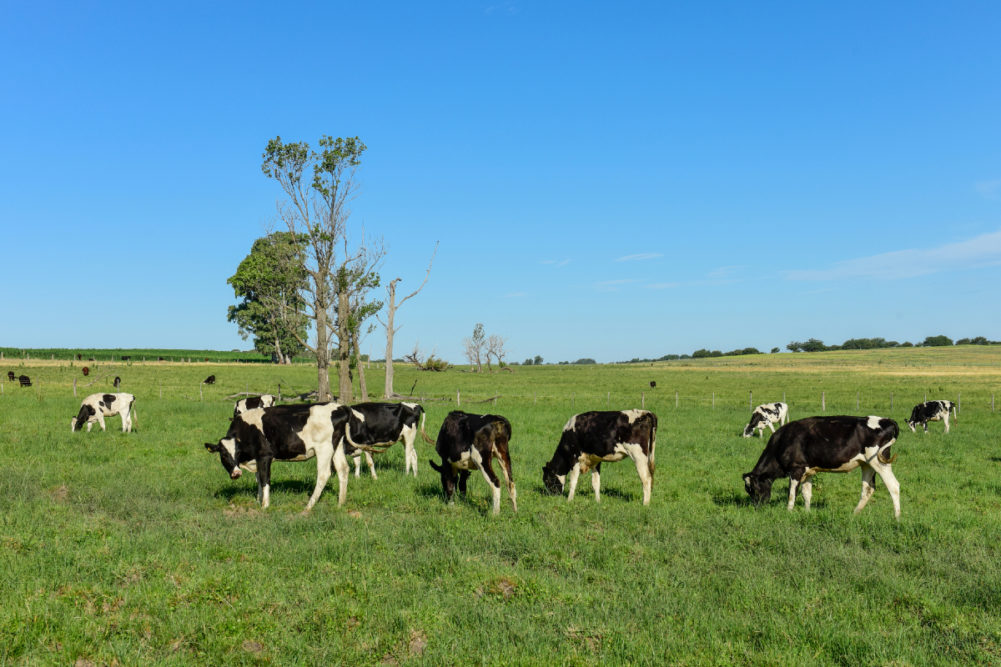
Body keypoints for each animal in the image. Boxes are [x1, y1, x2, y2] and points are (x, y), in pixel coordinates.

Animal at [203, 400, 356, 508]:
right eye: (223, 455)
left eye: (238, 452)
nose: (236, 473)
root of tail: (339, 406)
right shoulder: (257, 459)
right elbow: (258, 479)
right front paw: (258, 500)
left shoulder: (265, 455)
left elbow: (264, 479)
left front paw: (265, 505)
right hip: (337, 447)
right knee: (343, 469)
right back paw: (340, 503)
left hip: (324, 448)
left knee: (324, 474)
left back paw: (309, 506)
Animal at [744, 416, 900, 520]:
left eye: (754, 488)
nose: (757, 507)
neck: (782, 442)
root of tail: (886, 420)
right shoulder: (808, 471)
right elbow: (806, 493)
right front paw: (807, 513)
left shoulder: (796, 469)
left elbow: (791, 494)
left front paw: (788, 513)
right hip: (867, 464)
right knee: (868, 489)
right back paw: (854, 514)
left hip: (879, 461)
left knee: (893, 486)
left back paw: (897, 518)